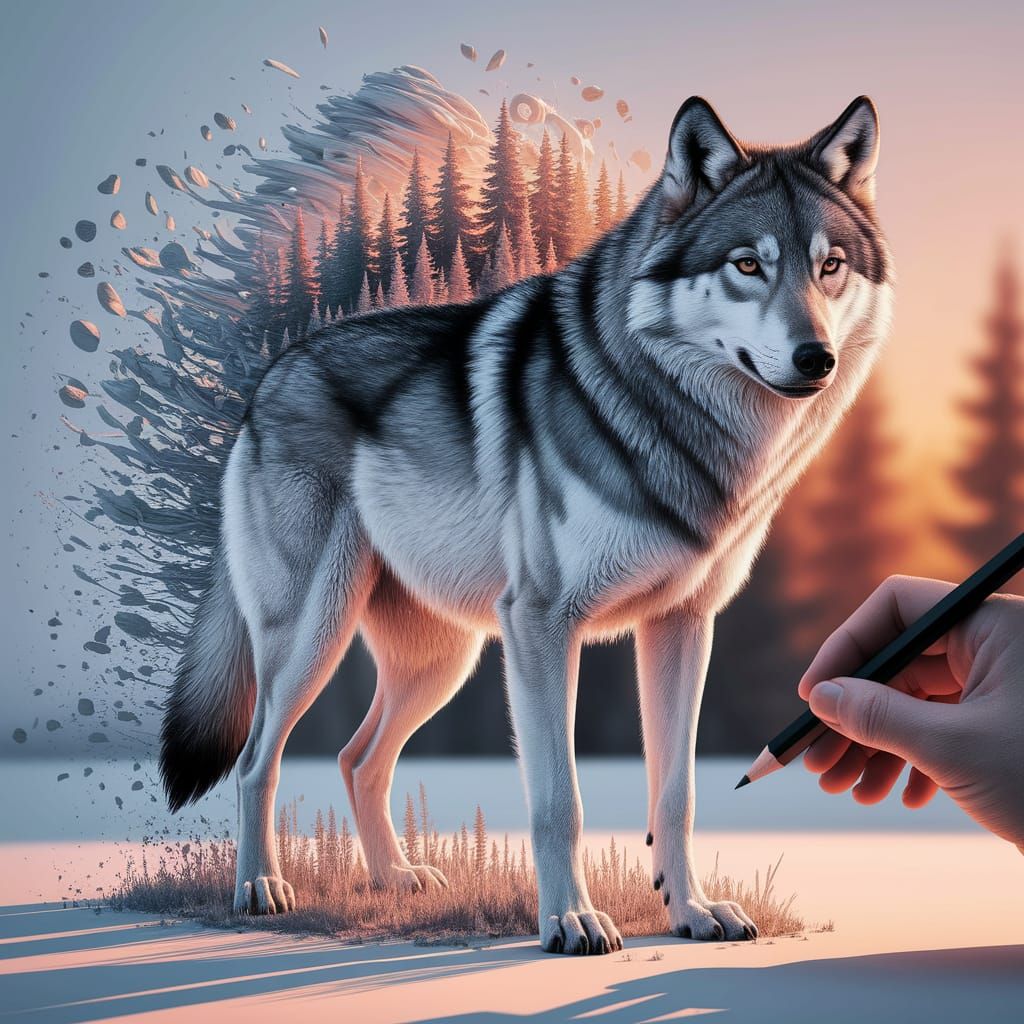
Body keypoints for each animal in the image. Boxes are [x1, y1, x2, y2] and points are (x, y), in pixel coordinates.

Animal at [160, 95, 892, 954]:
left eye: (829, 266)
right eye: (748, 265)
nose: (817, 359)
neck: (671, 422)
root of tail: (263, 383)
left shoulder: (683, 624)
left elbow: (675, 794)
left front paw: (691, 911)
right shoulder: (543, 624)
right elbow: (558, 801)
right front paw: (571, 920)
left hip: (443, 661)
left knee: (355, 759)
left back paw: (396, 880)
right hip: (316, 639)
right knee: (256, 762)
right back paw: (261, 888)